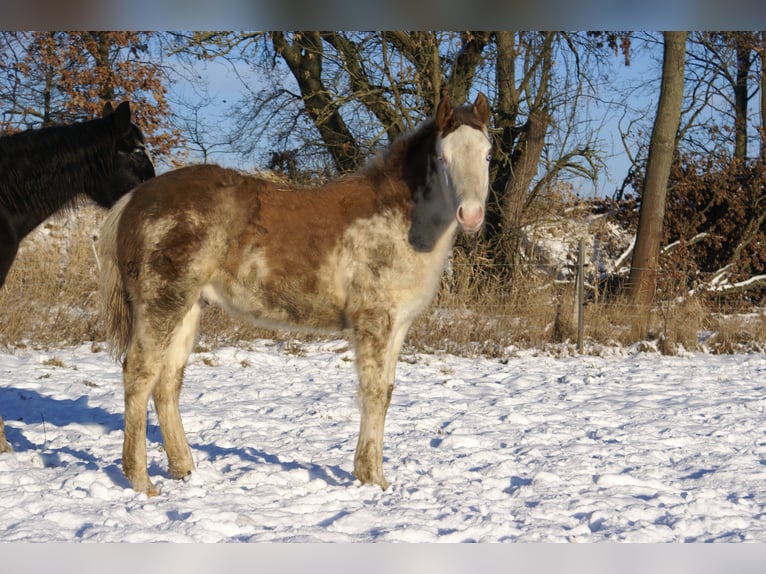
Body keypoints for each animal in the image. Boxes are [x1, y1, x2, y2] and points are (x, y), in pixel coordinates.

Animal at [99, 92, 491, 496]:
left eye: (488, 154)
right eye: (443, 157)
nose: (471, 215)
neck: (400, 222)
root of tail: (131, 200)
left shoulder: (397, 325)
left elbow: (386, 393)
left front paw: (373, 476)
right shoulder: (373, 321)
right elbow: (373, 393)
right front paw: (372, 478)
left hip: (188, 307)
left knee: (167, 381)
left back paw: (184, 469)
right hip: (160, 303)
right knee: (140, 373)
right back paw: (141, 480)